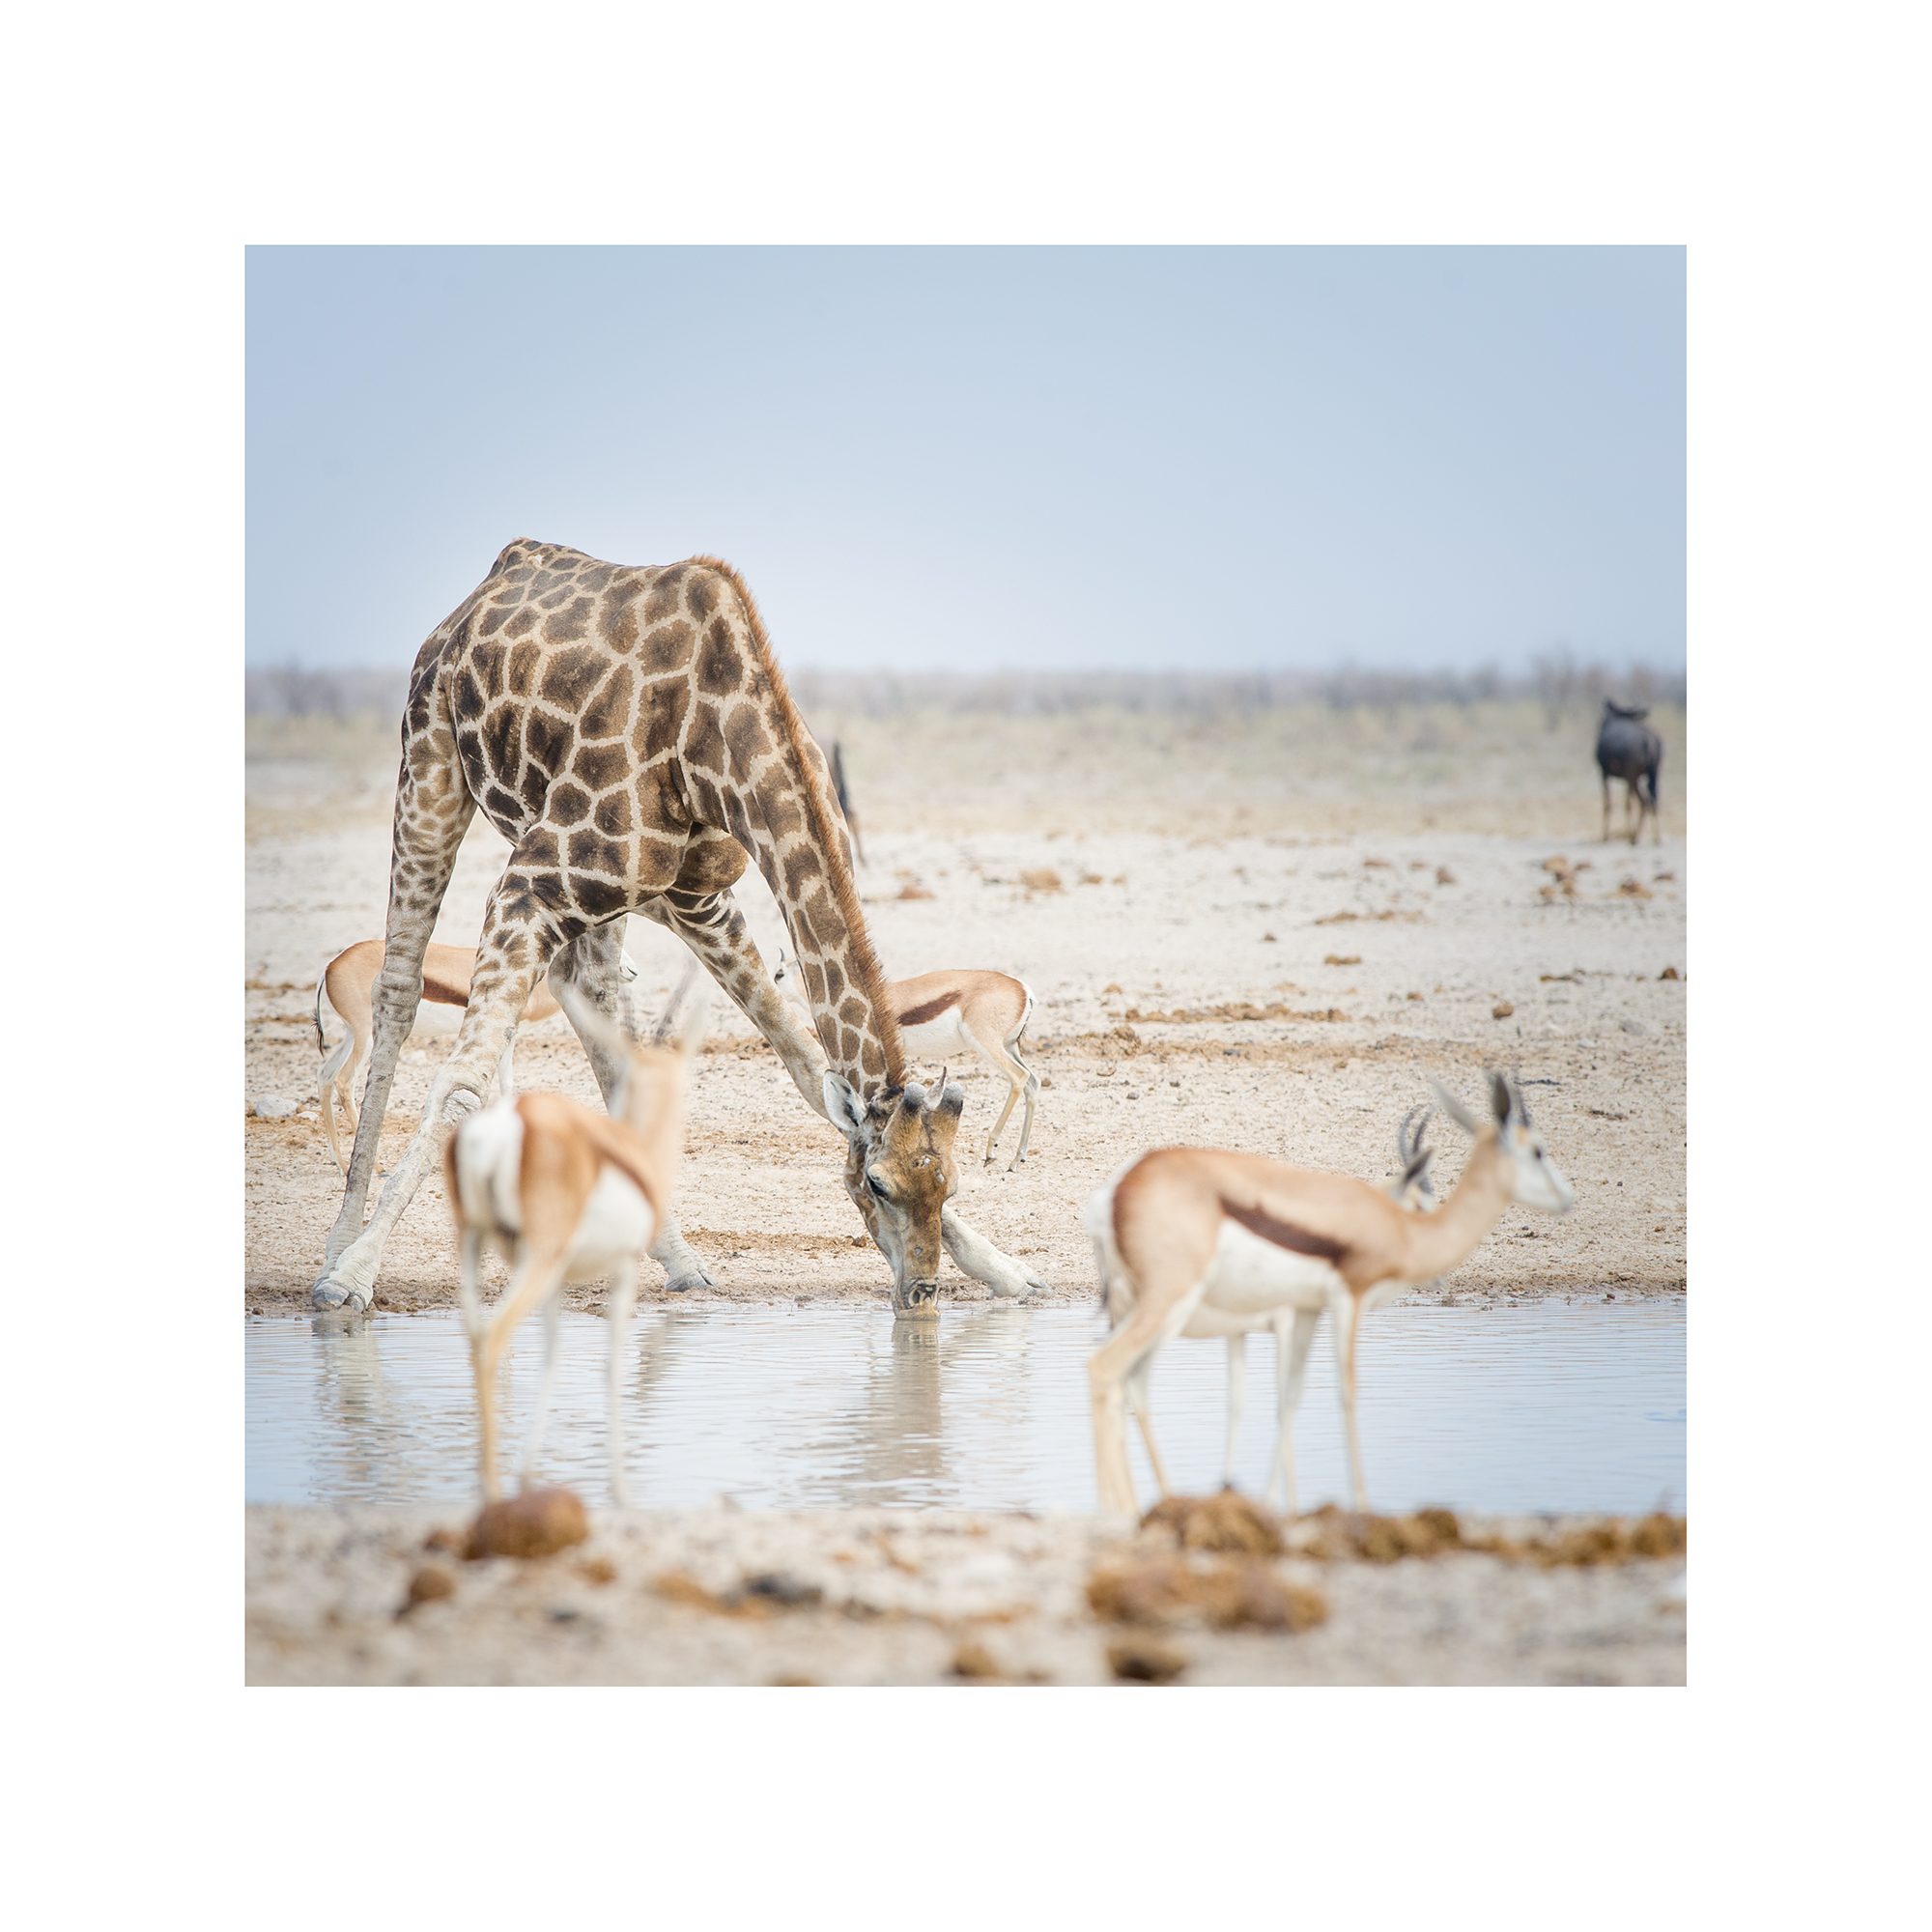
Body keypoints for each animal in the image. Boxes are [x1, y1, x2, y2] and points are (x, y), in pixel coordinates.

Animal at [311, 542, 1050, 1317]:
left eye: (949, 1184)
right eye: (878, 1185)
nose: (921, 1291)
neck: (717, 740)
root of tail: (494, 576)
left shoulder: (698, 897)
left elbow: (806, 1066)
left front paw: (1006, 1269)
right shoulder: (528, 887)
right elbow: (463, 1081)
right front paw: (351, 1275)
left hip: (623, 893)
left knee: (592, 1004)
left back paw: (675, 1256)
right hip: (430, 771)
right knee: (398, 990)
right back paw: (340, 1243)